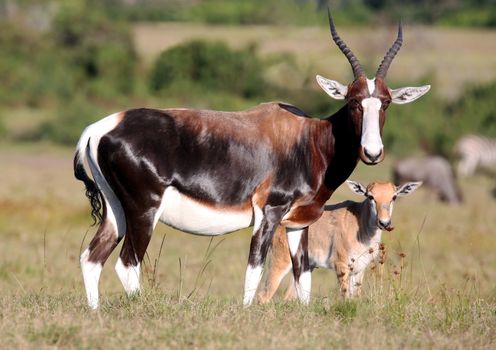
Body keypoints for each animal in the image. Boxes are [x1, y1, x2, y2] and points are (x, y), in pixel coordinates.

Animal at [73, 12, 430, 308]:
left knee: (91, 258)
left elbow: (303, 277)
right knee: (126, 264)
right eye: (354, 101)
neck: (308, 138)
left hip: (117, 211)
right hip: (144, 211)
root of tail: (102, 126)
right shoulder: (269, 213)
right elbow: (254, 271)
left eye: (385, 102)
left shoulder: (298, 222)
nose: (372, 153)